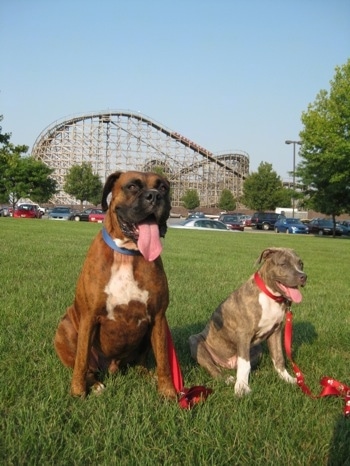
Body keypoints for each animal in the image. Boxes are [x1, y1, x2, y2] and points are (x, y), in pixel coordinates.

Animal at [55, 169, 178, 398]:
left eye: (163, 187)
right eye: (132, 186)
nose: (154, 196)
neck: (127, 254)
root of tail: (111, 367)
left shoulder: (158, 318)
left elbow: (164, 361)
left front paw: (167, 391)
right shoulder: (89, 317)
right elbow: (81, 360)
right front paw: (78, 391)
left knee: (140, 364)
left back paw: (148, 376)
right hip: (65, 329)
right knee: (86, 365)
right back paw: (94, 384)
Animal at [189, 248, 306, 396]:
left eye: (301, 264)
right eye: (283, 264)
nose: (303, 276)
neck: (270, 296)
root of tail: (227, 363)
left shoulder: (276, 331)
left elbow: (278, 357)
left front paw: (288, 378)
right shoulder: (244, 334)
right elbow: (245, 364)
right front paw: (242, 388)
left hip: (257, 349)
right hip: (195, 342)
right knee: (213, 367)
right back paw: (226, 379)